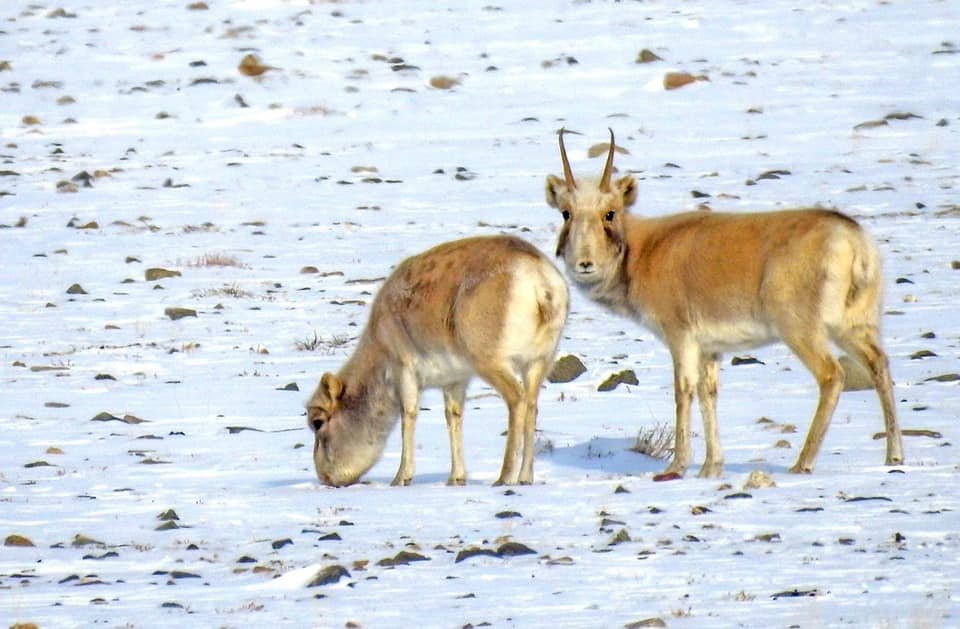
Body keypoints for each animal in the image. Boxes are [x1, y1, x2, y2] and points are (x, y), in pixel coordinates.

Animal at [306, 236, 568, 486]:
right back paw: (525, 477)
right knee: (532, 407)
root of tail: (540, 281)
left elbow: (408, 415)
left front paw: (401, 476)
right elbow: (453, 418)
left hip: (493, 364)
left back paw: (504, 477)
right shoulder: (455, 382)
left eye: (317, 422)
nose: (325, 478)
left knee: (517, 400)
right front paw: (456, 477)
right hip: (537, 364)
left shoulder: (405, 371)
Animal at [544, 130, 904, 478]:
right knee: (879, 365)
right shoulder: (711, 349)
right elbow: (709, 395)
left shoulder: (681, 339)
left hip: (802, 331)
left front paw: (676, 466)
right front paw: (711, 467)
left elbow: (684, 391)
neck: (646, 249)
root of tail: (851, 237)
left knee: (832, 375)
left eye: (610, 212)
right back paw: (894, 456)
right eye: (566, 212)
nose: (585, 264)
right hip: (855, 327)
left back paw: (802, 463)